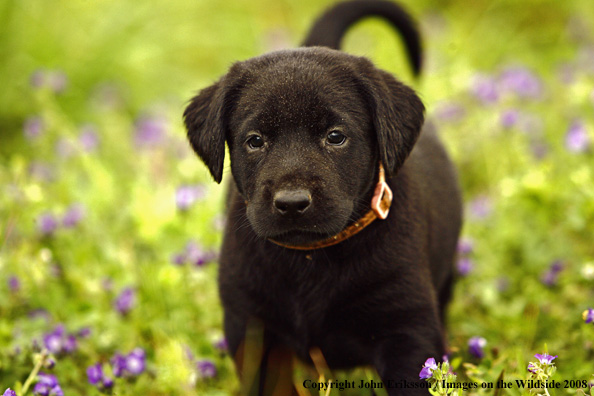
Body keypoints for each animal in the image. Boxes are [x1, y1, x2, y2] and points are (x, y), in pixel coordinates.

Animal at [183, 1, 460, 394]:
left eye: (335, 136)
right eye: (255, 140)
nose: (292, 203)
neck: (310, 259)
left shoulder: (407, 328)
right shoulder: (251, 328)